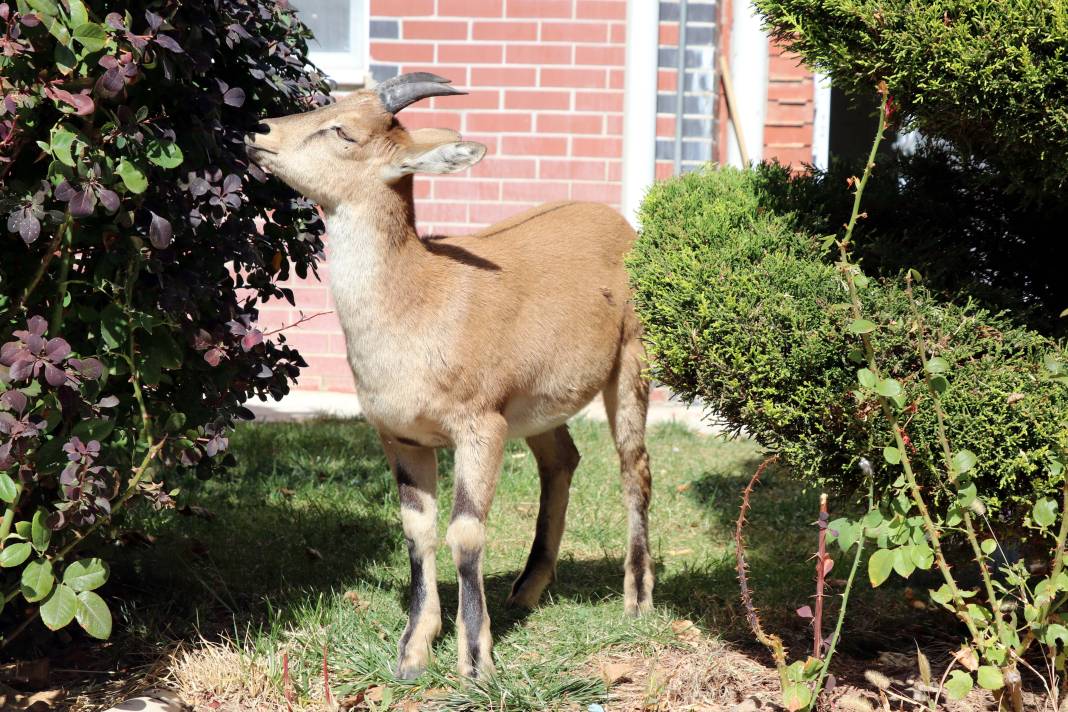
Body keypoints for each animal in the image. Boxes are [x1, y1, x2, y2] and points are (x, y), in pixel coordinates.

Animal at [249, 72, 649, 678]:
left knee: (634, 468)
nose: (260, 130)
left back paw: (637, 600)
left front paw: (476, 660)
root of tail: (618, 222)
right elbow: (418, 531)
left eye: (344, 131)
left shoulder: (481, 425)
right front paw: (413, 651)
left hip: (632, 361)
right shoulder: (401, 435)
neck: (420, 301)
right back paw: (528, 589)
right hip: (535, 405)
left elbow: (465, 529)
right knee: (561, 459)